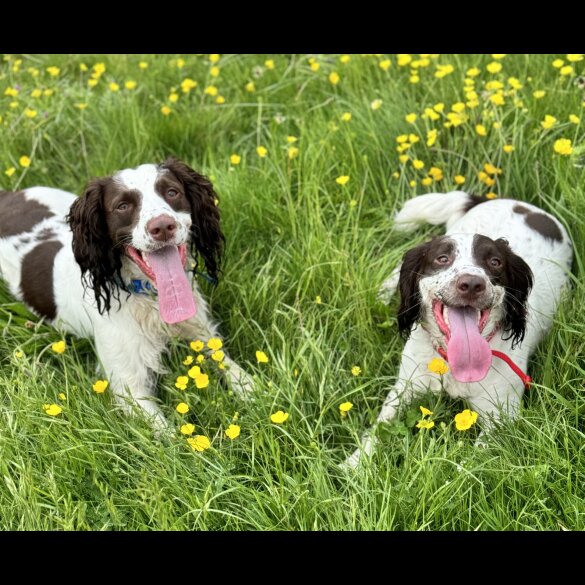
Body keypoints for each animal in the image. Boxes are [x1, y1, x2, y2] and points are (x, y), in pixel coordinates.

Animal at [0, 157, 251, 426]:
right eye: (122, 206)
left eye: (172, 192)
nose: (162, 226)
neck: (151, 299)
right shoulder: (128, 386)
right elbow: (168, 434)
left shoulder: (200, 331)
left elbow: (229, 365)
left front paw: (255, 391)